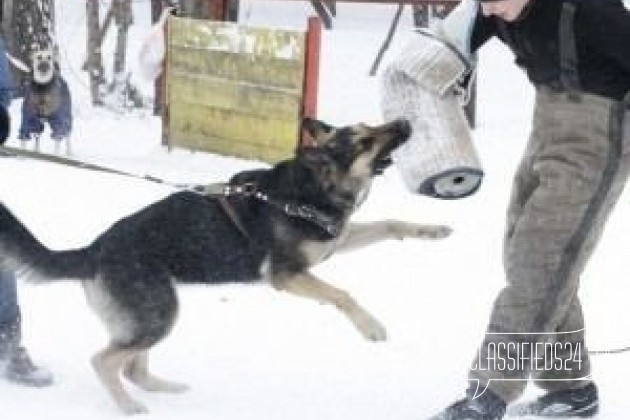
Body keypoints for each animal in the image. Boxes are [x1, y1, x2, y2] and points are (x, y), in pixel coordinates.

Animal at [1, 117, 454, 414]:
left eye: (369, 126)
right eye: (363, 140)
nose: (404, 121)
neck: (310, 189)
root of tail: (92, 249)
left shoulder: (335, 244)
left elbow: (390, 224)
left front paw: (432, 230)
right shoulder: (287, 276)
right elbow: (342, 294)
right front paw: (371, 326)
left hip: (154, 314)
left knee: (132, 365)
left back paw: (163, 388)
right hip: (159, 313)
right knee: (104, 361)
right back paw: (128, 406)